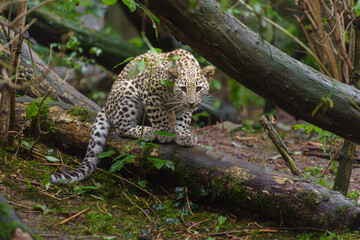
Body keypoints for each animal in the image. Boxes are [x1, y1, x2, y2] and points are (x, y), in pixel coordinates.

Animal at [50, 48, 214, 184]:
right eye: (183, 88)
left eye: (198, 88)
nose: (192, 103)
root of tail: (106, 105)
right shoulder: (150, 92)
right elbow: (159, 115)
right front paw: (165, 133)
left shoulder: (183, 106)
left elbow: (184, 118)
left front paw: (184, 135)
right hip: (129, 90)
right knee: (121, 128)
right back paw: (148, 131)